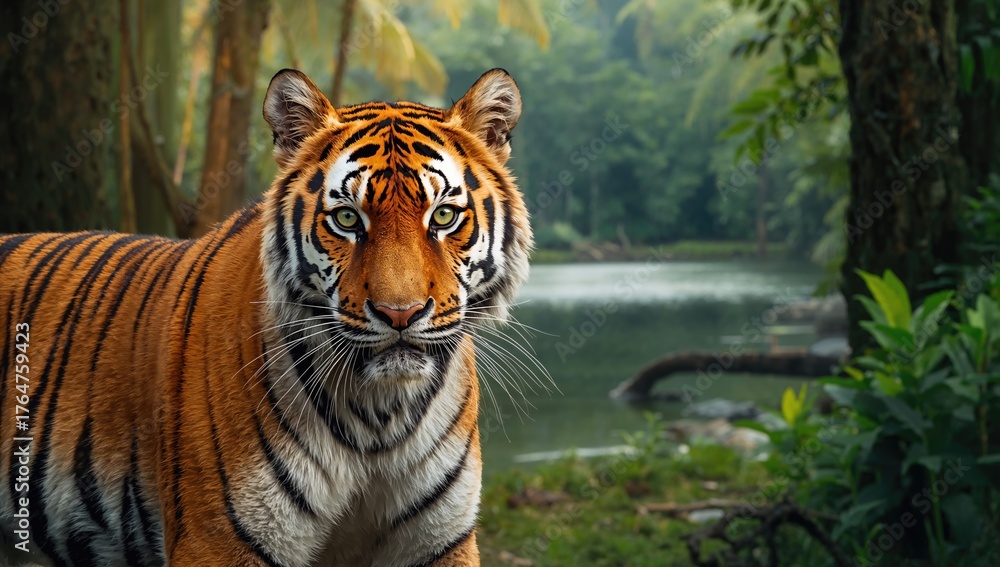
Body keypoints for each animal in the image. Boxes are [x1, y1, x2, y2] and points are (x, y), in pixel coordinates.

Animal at [0, 67, 531, 566]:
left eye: (443, 216)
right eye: (347, 219)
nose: (399, 314)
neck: (378, 417)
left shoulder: (439, 542)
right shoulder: (218, 540)